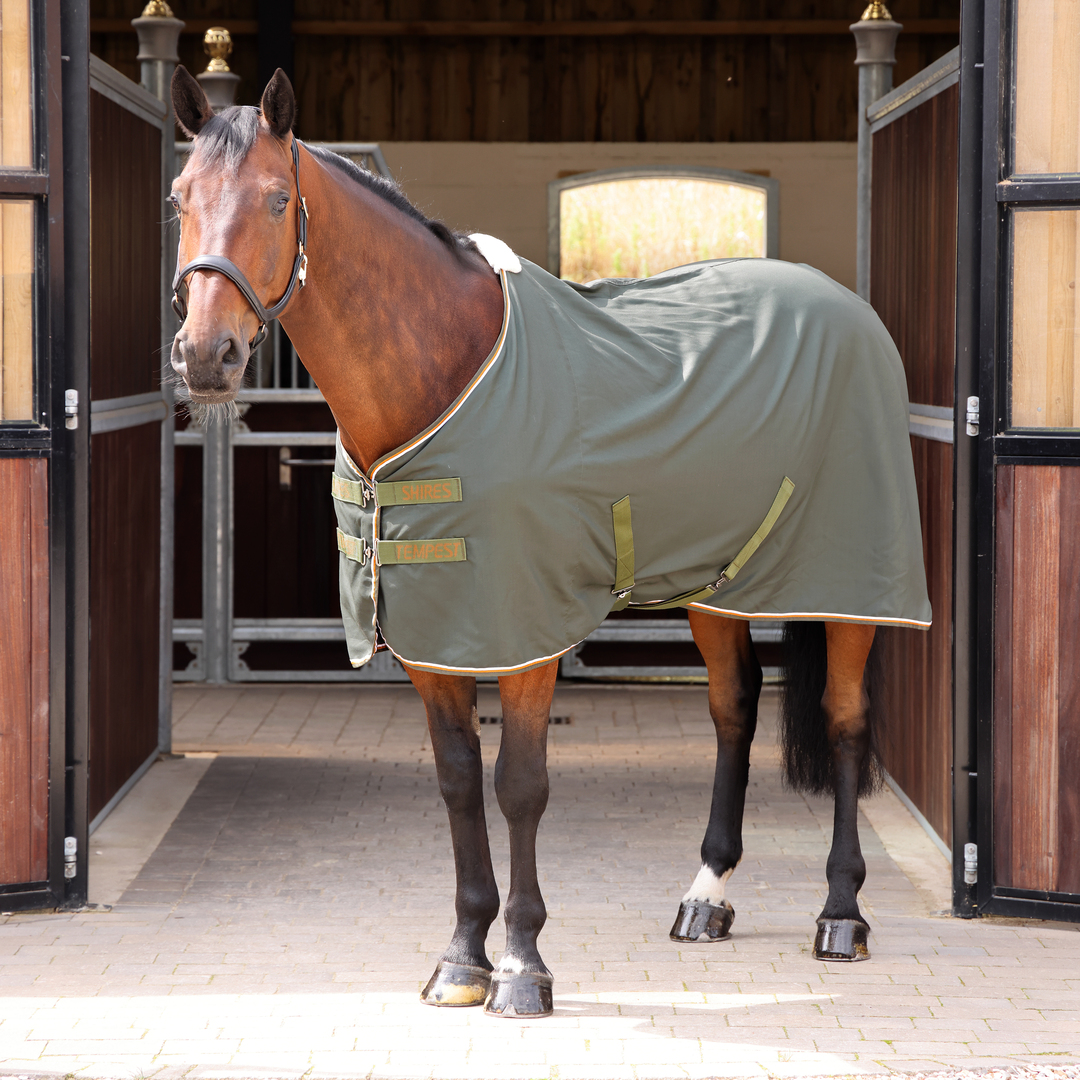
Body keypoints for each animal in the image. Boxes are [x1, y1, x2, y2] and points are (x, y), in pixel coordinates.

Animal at [167, 66, 931, 1019]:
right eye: (178, 198)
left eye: (276, 199)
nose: (207, 356)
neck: (444, 370)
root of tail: (847, 306)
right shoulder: (434, 635)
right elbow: (459, 782)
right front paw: (463, 958)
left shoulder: (522, 634)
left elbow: (518, 787)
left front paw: (524, 967)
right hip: (721, 585)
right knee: (734, 710)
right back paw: (706, 896)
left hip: (847, 583)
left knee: (845, 721)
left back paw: (840, 914)